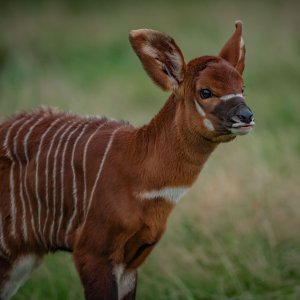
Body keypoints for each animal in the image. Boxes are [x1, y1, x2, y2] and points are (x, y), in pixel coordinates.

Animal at [0, 20, 253, 298]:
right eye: (205, 92)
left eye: (241, 88)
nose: (246, 116)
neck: (136, 168)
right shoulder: (93, 252)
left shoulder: (133, 259)